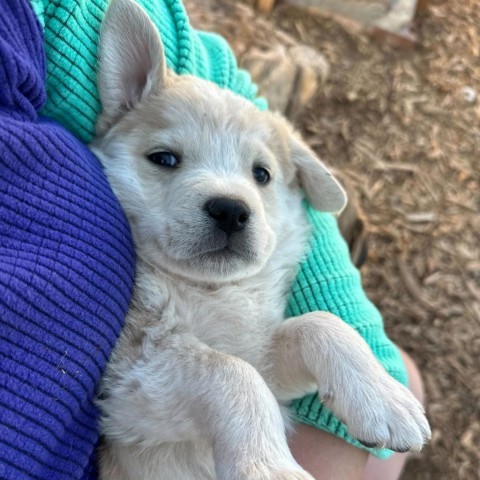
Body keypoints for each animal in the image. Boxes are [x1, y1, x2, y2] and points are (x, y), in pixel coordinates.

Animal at [91, 0, 432, 480]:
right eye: (164, 158)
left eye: (261, 174)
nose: (231, 210)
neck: (208, 292)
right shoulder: (132, 376)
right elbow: (230, 373)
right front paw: (269, 468)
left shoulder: (264, 356)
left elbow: (318, 325)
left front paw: (384, 399)